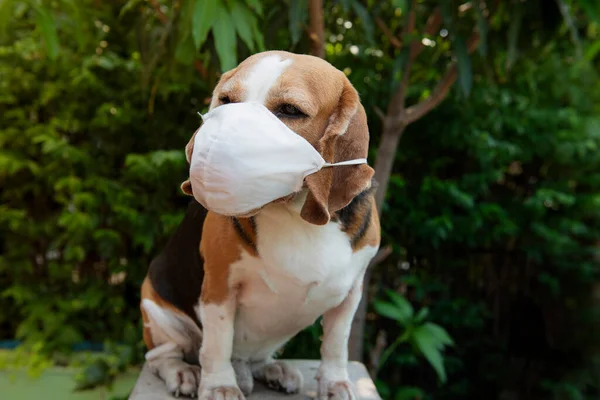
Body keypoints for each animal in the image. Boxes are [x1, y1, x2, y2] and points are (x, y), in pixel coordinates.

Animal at [141, 51, 380, 398]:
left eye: (290, 110)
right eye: (225, 101)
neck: (294, 214)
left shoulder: (351, 292)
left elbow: (336, 343)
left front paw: (335, 382)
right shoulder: (219, 287)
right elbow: (217, 343)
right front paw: (220, 386)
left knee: (253, 356)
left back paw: (270, 369)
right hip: (157, 309)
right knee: (163, 356)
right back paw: (185, 373)